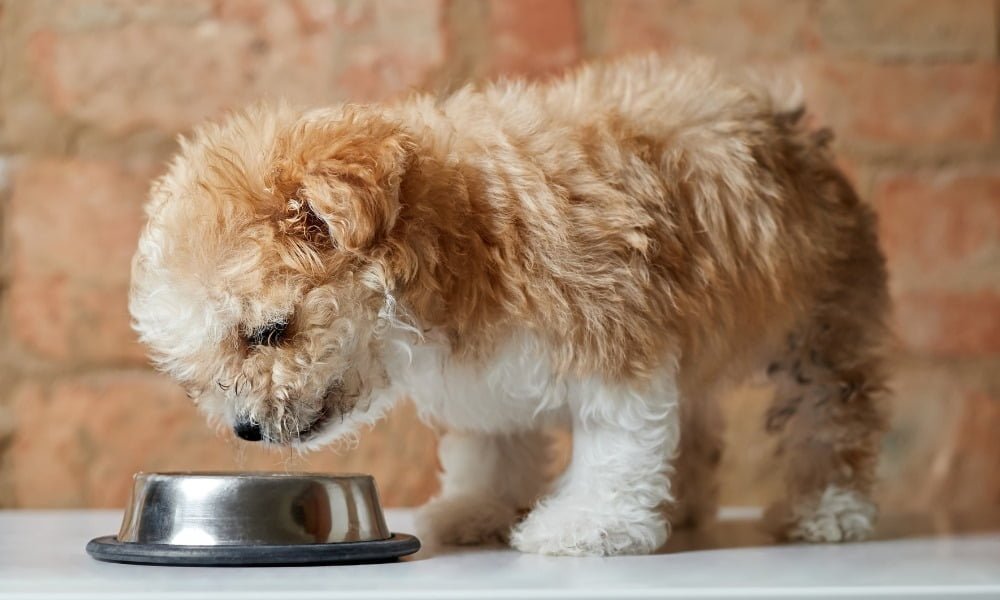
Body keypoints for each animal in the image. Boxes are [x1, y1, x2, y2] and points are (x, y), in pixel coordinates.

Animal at [129, 54, 888, 556]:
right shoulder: (486, 374)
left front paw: (587, 524)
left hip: (819, 322)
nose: (246, 430)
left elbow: (614, 441)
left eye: (270, 332)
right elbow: (492, 445)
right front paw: (478, 508)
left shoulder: (614, 333)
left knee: (829, 414)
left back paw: (828, 509)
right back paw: (688, 507)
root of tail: (784, 121)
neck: (465, 234)